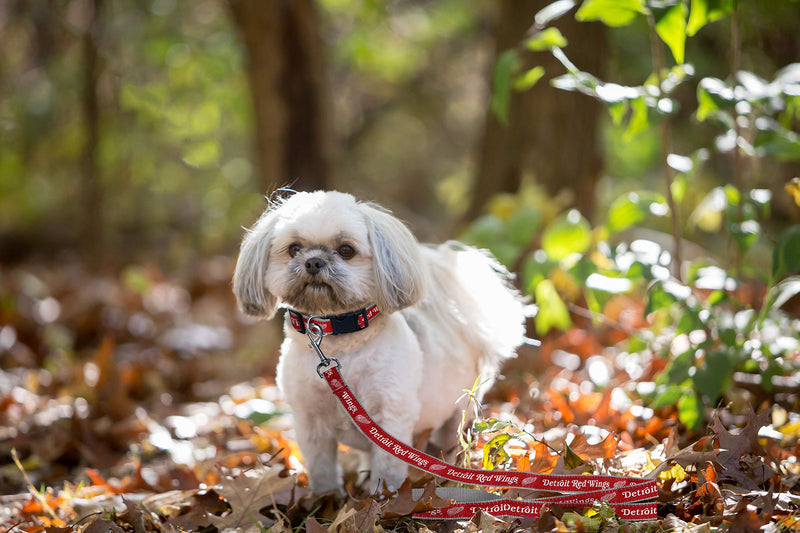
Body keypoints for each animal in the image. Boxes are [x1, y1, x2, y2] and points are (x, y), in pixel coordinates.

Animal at [234, 189, 528, 492]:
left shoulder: (390, 416)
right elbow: (322, 469)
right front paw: (326, 497)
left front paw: (383, 496)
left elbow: (387, 467)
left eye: (346, 250)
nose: (314, 262)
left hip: (459, 411)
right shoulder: (310, 423)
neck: (339, 341)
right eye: (294, 248)